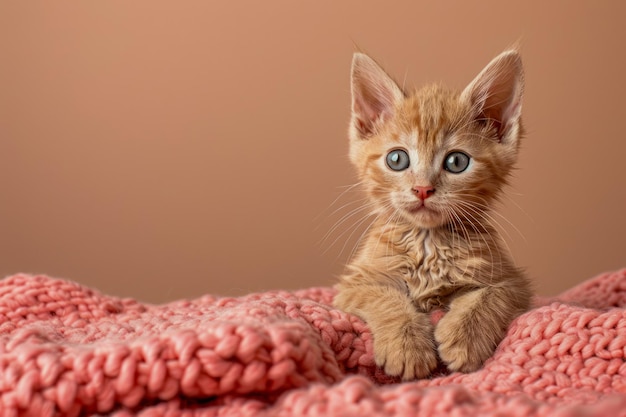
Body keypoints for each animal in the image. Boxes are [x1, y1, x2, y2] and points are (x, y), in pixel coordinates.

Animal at [332, 50, 532, 378]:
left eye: (456, 162)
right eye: (397, 159)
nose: (423, 189)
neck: (427, 243)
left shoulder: (513, 282)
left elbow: (489, 295)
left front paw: (465, 338)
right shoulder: (353, 285)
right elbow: (385, 297)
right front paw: (406, 347)